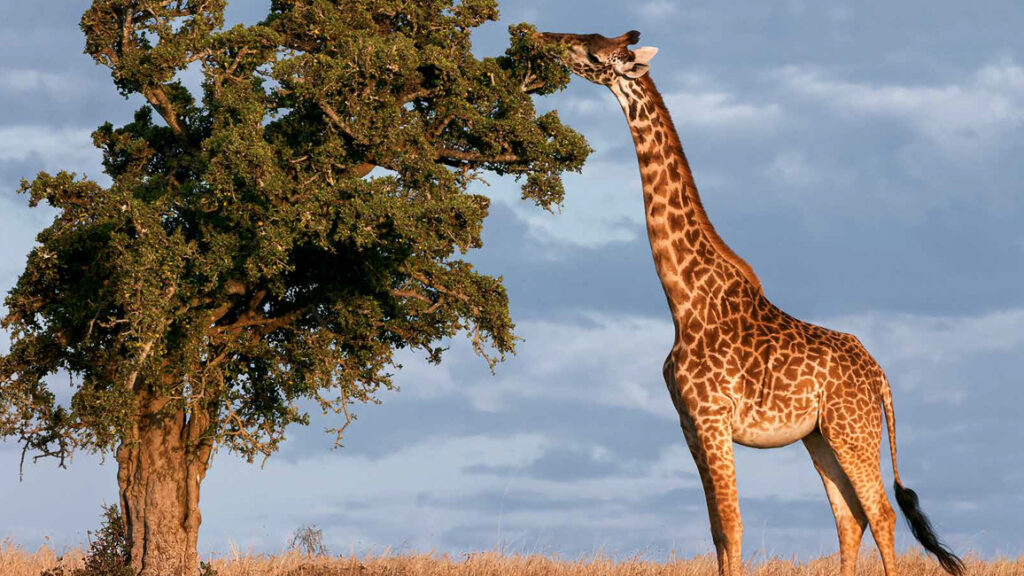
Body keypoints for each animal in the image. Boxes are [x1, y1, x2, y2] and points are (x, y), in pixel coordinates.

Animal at [533, 30, 965, 576]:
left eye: (591, 51)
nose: (544, 40)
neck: (684, 301)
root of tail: (881, 377)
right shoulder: (690, 424)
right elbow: (717, 529)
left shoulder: (713, 416)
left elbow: (733, 525)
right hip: (820, 437)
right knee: (850, 519)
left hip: (854, 430)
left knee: (881, 514)